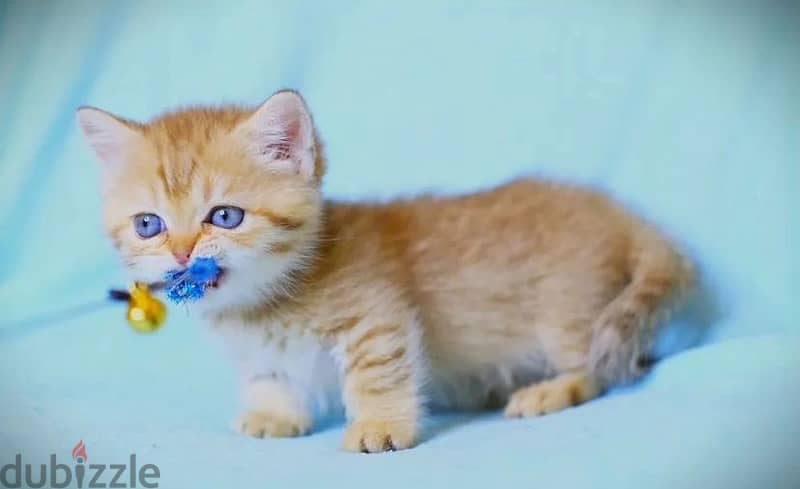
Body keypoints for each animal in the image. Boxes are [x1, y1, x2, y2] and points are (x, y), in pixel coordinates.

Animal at [78, 89, 696, 452]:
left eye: (225, 216)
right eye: (149, 225)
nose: (183, 256)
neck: (267, 301)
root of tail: (619, 215)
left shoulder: (375, 319)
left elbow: (377, 375)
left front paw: (379, 428)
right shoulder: (261, 353)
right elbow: (271, 376)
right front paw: (275, 415)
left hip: (568, 315)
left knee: (598, 368)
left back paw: (548, 391)